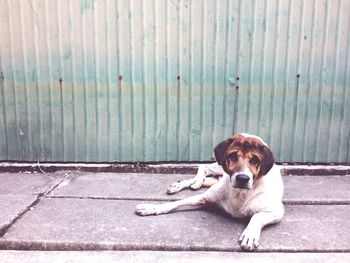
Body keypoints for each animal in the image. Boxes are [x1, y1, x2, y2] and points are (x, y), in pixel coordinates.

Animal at [135, 134, 284, 252]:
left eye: (255, 160)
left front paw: (250, 235)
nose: (242, 178)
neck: (239, 193)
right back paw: (189, 183)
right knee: (204, 167)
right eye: (233, 156)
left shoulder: (277, 211)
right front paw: (152, 208)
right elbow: (176, 203)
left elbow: (257, 216)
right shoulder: (205, 197)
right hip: (219, 167)